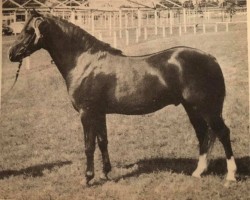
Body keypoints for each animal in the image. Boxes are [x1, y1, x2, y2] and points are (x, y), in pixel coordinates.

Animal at [8, 9, 236, 184]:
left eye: (29, 30)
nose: (11, 53)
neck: (84, 62)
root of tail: (210, 58)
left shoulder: (86, 113)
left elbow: (88, 145)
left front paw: (88, 178)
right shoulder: (99, 113)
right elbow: (103, 142)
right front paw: (106, 173)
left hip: (207, 108)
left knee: (223, 133)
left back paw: (231, 176)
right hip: (192, 108)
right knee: (203, 135)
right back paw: (198, 172)